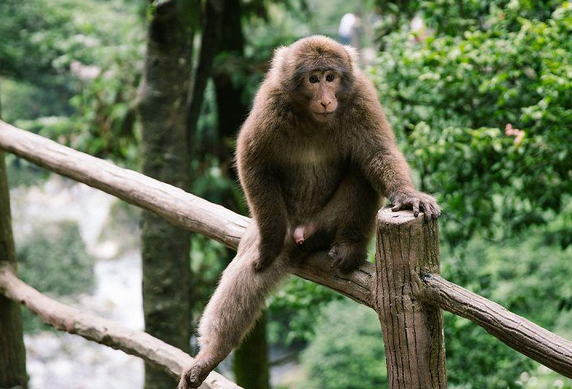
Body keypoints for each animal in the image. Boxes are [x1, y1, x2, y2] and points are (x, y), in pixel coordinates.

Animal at [179, 34, 438, 386]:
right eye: (313, 79)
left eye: (331, 77)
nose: (327, 100)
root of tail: (302, 234)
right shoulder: (270, 102)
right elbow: (253, 161)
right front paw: (270, 243)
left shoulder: (361, 96)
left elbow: (377, 153)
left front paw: (410, 196)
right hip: (280, 221)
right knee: (245, 272)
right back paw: (212, 353)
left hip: (325, 223)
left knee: (361, 171)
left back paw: (349, 246)